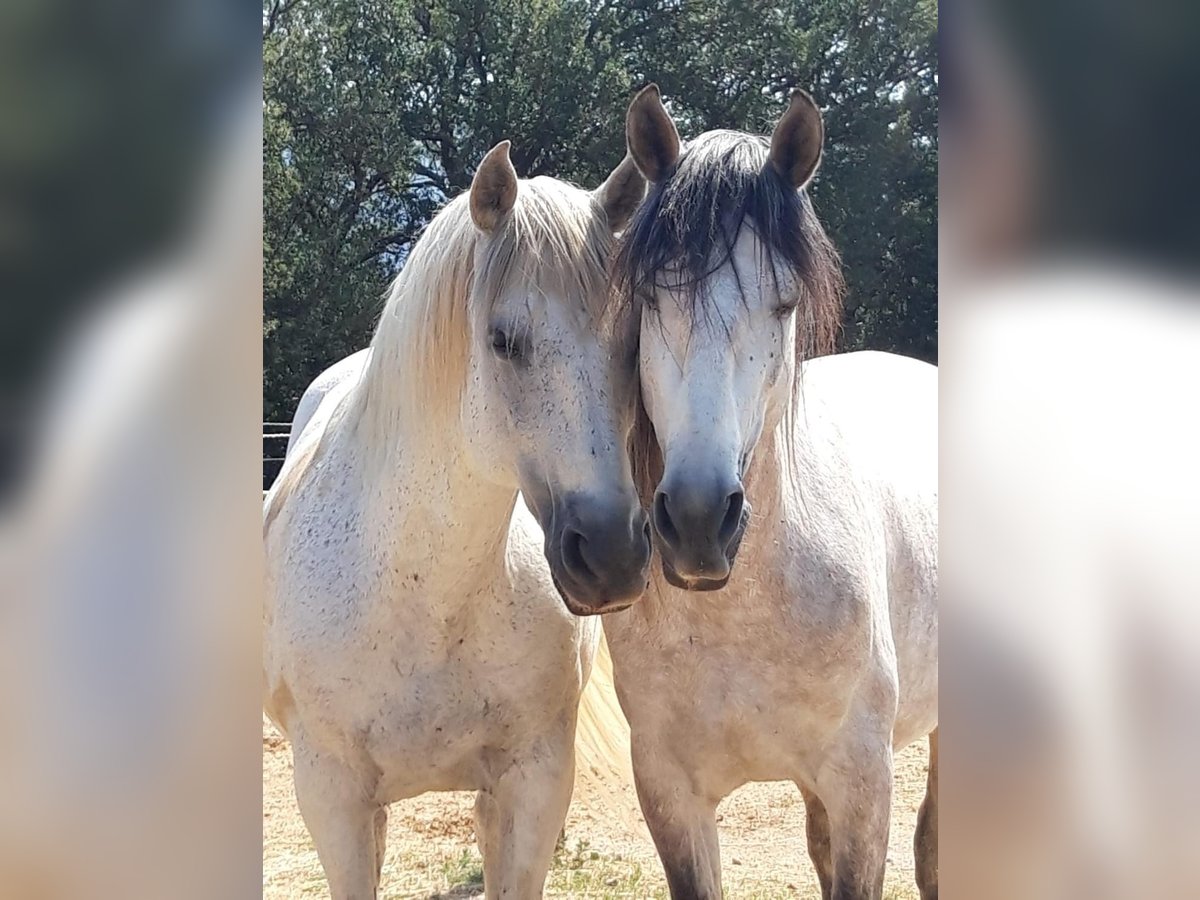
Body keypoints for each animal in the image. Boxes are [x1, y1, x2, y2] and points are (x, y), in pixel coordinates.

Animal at [267, 142, 652, 900]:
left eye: (631, 344)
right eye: (502, 340)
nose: (612, 556)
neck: (423, 593)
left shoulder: (535, 781)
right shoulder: (332, 797)